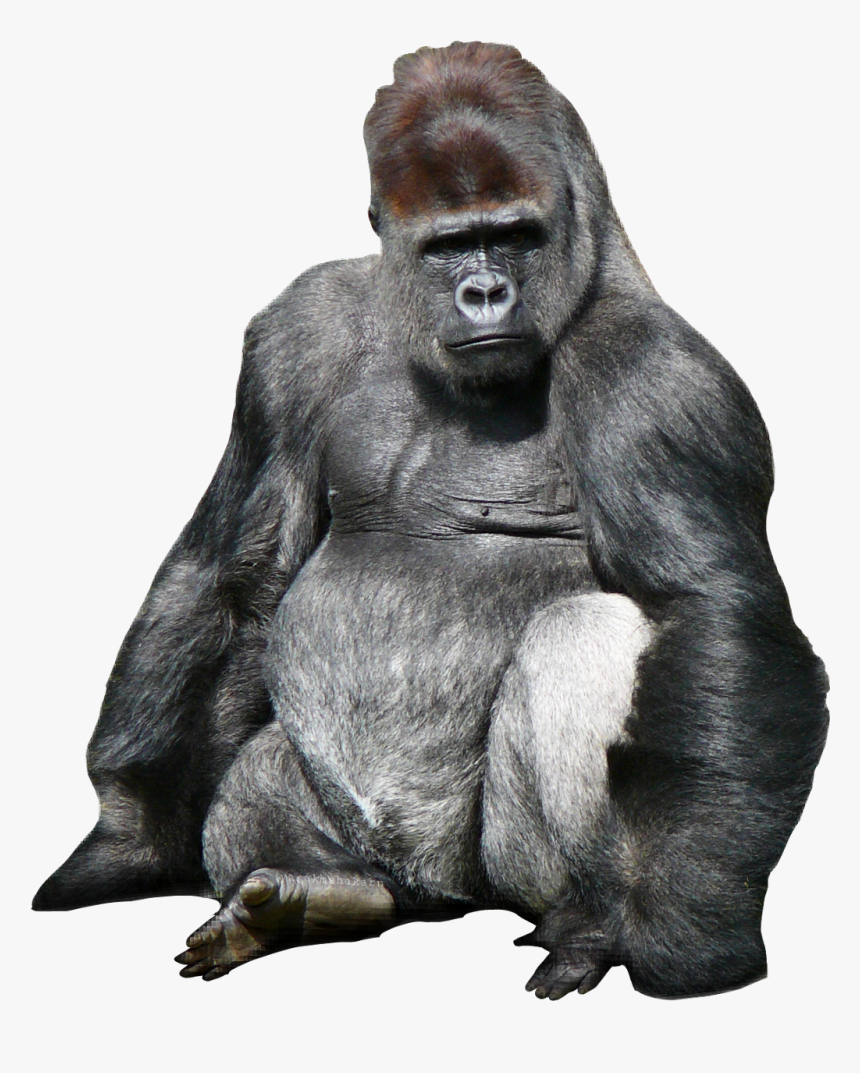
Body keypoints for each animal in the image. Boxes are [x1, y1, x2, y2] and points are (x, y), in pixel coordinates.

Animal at [33, 41, 828, 1000]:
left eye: (515, 235)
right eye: (449, 246)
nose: (485, 290)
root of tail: (433, 896)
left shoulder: (661, 381)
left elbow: (710, 612)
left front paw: (685, 927)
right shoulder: (294, 332)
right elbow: (237, 572)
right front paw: (129, 834)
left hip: (502, 877)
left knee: (586, 635)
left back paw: (589, 923)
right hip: (367, 849)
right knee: (277, 789)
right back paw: (312, 895)